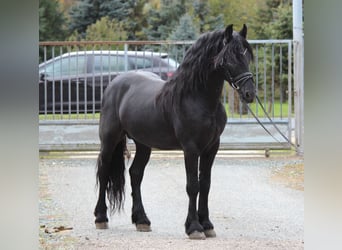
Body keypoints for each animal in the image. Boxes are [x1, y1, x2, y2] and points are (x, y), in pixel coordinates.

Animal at [95, 24, 255, 239]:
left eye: (247, 57)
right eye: (228, 59)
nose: (249, 94)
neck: (197, 98)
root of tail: (114, 83)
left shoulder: (211, 148)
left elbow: (205, 185)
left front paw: (207, 225)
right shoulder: (191, 148)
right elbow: (193, 185)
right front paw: (194, 227)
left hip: (143, 144)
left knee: (135, 174)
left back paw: (142, 220)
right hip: (109, 139)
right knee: (104, 171)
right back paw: (100, 218)